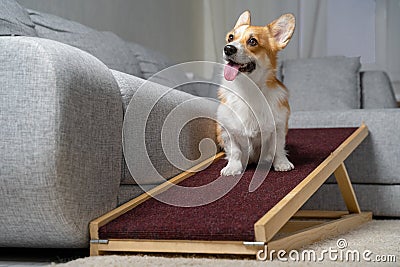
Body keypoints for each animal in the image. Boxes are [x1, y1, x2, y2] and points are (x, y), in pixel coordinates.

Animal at [217, 11, 296, 177]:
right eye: (230, 37)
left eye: (252, 41)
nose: (228, 48)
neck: (248, 88)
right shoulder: (228, 130)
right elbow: (234, 151)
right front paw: (232, 167)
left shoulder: (279, 127)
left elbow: (278, 148)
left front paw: (281, 163)